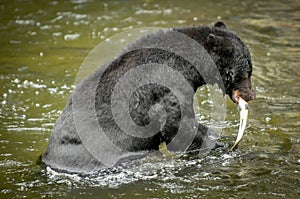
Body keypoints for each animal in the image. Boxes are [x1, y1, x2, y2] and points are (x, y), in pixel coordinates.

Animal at [42, 21, 254, 173]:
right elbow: (177, 123)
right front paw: (218, 144)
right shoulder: (169, 82)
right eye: (244, 72)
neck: (190, 63)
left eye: (250, 69)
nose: (250, 94)